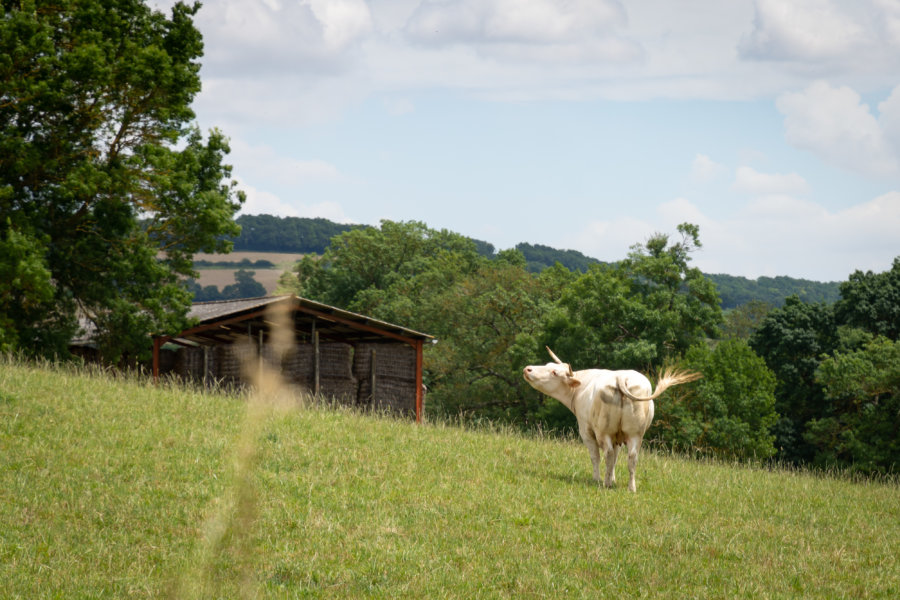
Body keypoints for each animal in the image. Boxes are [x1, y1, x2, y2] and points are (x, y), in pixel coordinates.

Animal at [524, 346, 700, 492]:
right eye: (547, 365)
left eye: (554, 372)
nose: (528, 369)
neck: (581, 387)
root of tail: (621, 377)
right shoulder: (618, 436)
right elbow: (616, 457)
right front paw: (613, 478)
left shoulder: (586, 430)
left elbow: (596, 456)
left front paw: (598, 478)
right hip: (635, 434)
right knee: (632, 457)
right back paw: (631, 488)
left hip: (604, 431)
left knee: (607, 453)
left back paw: (605, 483)